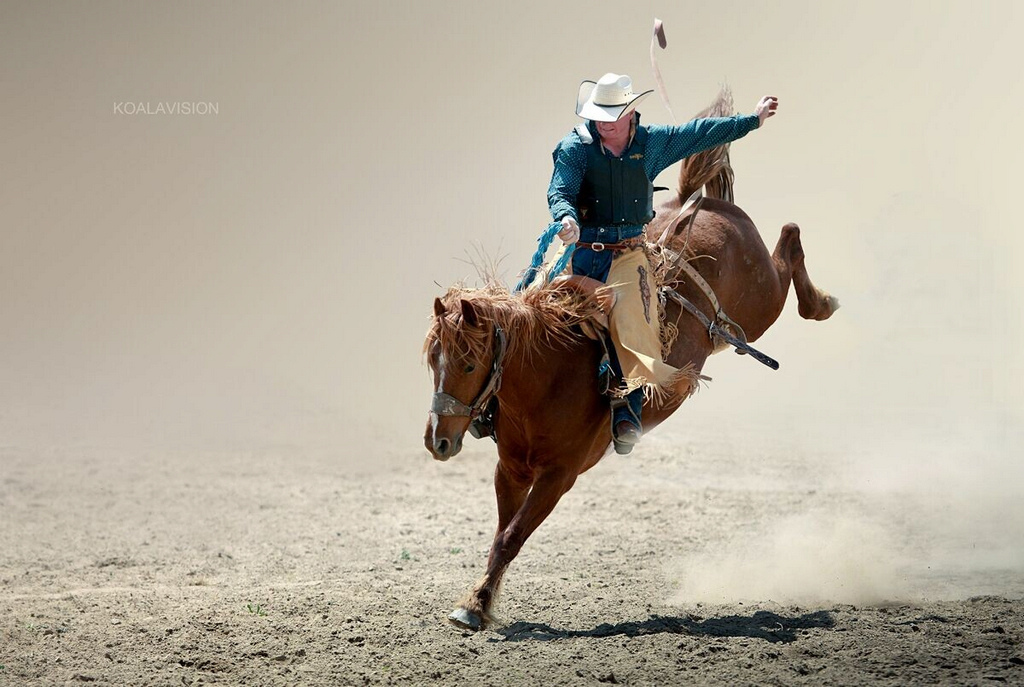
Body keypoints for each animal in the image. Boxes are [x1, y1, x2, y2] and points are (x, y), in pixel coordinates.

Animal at [419, 92, 835, 634]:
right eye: (432, 362)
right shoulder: (509, 468)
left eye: (468, 364)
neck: (546, 380)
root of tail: (699, 203)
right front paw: (479, 601)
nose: (438, 441)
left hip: (762, 299)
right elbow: (501, 536)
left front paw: (475, 605)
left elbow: (512, 536)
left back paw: (822, 302)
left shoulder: (560, 475)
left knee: (789, 239)